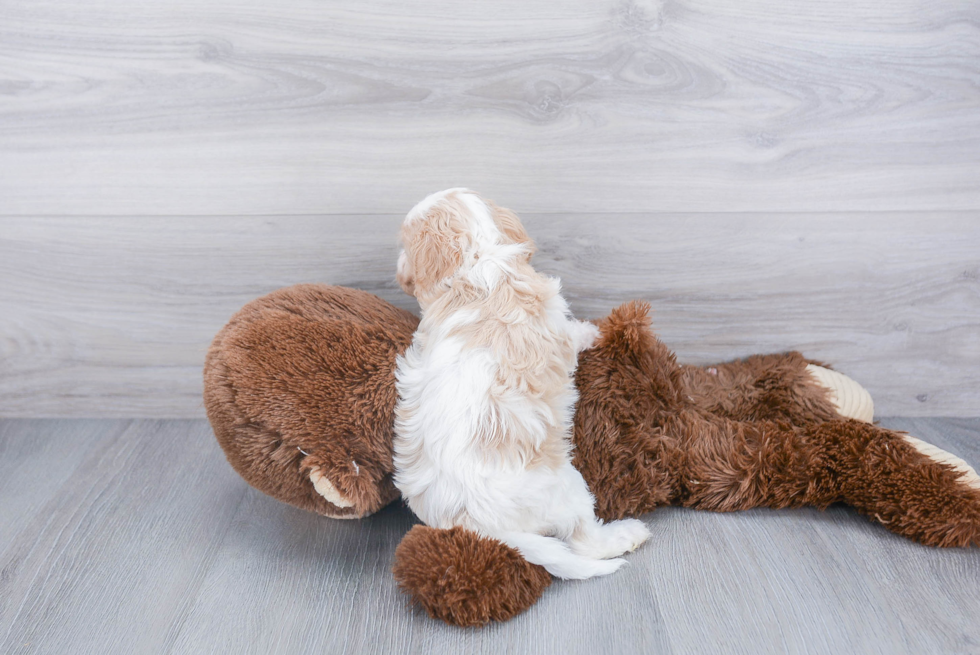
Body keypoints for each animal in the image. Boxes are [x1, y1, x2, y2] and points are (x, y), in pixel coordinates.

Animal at [390, 190, 652, 580]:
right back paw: (627, 534)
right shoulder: (556, 321)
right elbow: (573, 334)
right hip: (567, 485)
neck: (478, 259)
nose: (398, 268)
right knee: (584, 541)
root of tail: (478, 524)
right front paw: (593, 333)